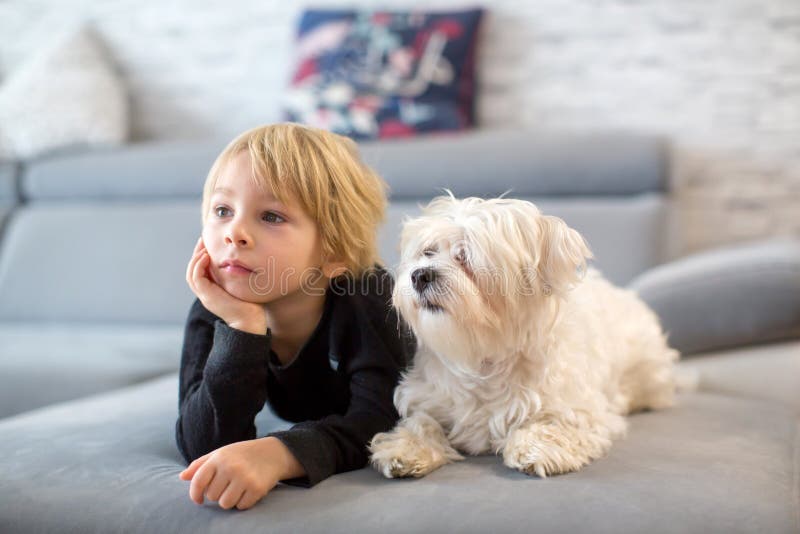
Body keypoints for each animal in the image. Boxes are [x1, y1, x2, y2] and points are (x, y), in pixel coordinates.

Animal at [372, 195, 680, 480]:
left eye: (465, 256)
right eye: (428, 252)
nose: (420, 275)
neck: (482, 356)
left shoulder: (581, 408)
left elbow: (560, 423)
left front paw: (537, 447)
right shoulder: (427, 396)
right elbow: (422, 421)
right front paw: (406, 447)